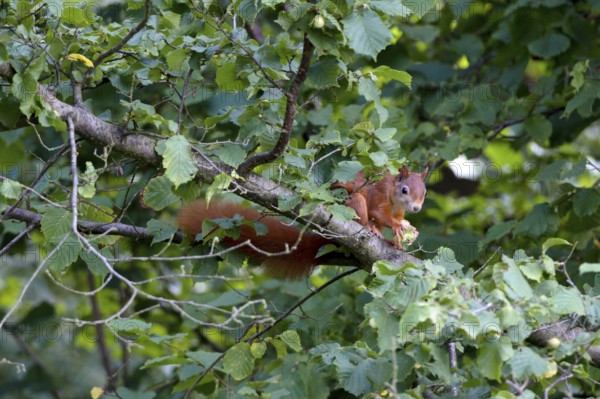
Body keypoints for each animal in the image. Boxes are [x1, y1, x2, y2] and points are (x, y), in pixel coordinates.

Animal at [178, 166, 426, 278]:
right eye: (405, 190)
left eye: (424, 192)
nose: (417, 208)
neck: (395, 200)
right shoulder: (378, 196)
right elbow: (378, 212)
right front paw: (395, 228)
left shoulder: (398, 211)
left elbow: (396, 220)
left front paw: (404, 235)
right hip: (354, 201)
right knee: (362, 216)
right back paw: (370, 228)